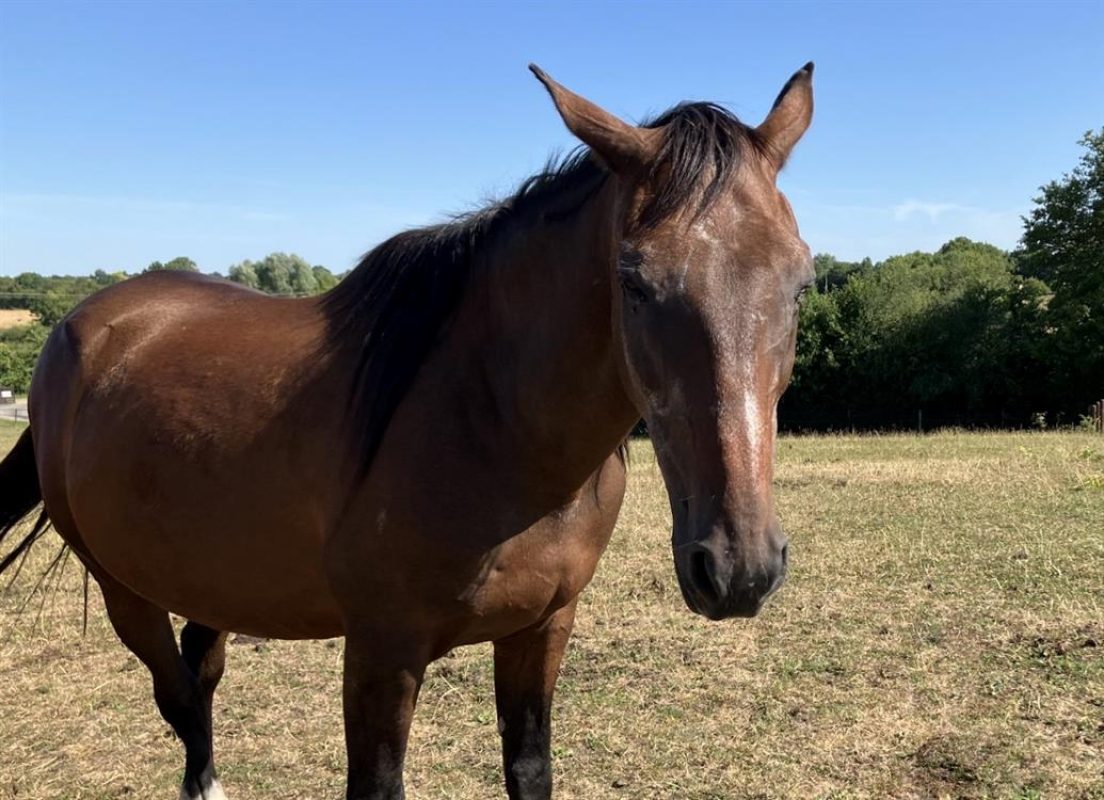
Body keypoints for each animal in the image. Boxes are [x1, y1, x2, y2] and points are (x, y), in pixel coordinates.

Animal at [0, 63, 815, 800]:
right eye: (633, 281)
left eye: (801, 282)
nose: (739, 567)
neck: (492, 430)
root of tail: (79, 327)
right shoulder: (382, 654)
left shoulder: (542, 629)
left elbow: (530, 770)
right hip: (123, 589)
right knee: (177, 696)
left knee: (200, 676)